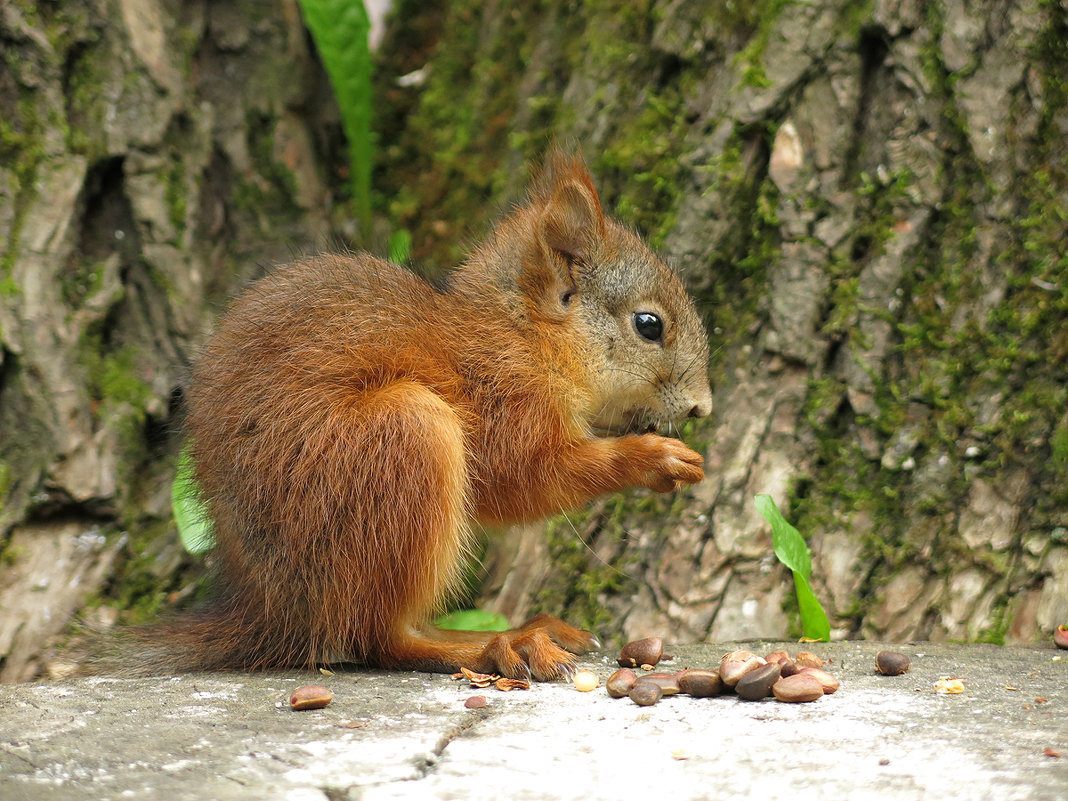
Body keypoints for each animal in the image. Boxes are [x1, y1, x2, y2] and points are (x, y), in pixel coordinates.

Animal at [170, 153, 713, 679]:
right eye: (649, 325)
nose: (701, 406)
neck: (524, 338)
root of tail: (273, 609)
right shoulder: (505, 406)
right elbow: (526, 479)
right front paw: (653, 458)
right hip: (401, 439)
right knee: (379, 639)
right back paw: (496, 646)